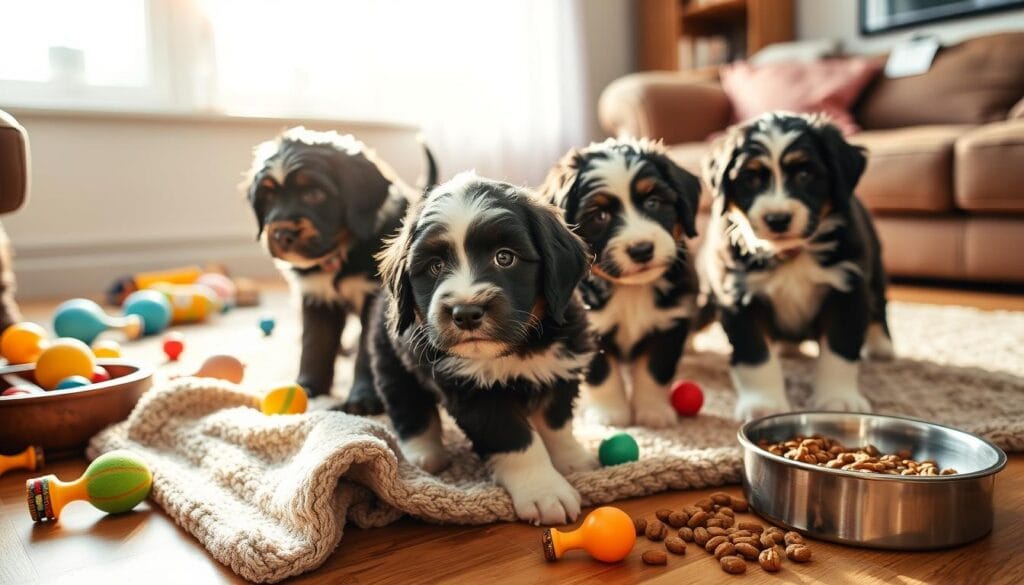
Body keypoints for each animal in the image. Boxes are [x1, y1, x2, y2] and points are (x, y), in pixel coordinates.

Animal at [245, 126, 434, 413]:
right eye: (267, 197)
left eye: (314, 194)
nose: (282, 234)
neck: (341, 253)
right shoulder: (316, 294)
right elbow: (315, 344)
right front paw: (309, 386)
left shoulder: (375, 300)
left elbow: (367, 353)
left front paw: (363, 398)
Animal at [372, 173, 598, 524]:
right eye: (435, 267)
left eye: (504, 257)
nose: (466, 313)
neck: (515, 348)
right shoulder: (473, 392)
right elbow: (515, 438)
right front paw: (544, 490)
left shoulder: (561, 363)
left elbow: (556, 421)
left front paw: (571, 459)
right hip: (392, 357)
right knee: (407, 405)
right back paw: (424, 453)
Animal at [544, 139, 704, 428]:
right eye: (600, 215)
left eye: (653, 202)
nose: (641, 250)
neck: (631, 292)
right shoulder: (589, 328)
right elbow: (602, 374)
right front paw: (611, 413)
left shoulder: (670, 322)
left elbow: (655, 370)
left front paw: (653, 411)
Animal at [700, 111, 892, 422]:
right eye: (750, 178)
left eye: (805, 174)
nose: (778, 219)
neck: (790, 255)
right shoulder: (738, 294)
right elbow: (755, 355)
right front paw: (764, 404)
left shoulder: (847, 287)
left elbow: (839, 350)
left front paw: (838, 400)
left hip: (873, 266)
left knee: (879, 306)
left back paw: (881, 345)